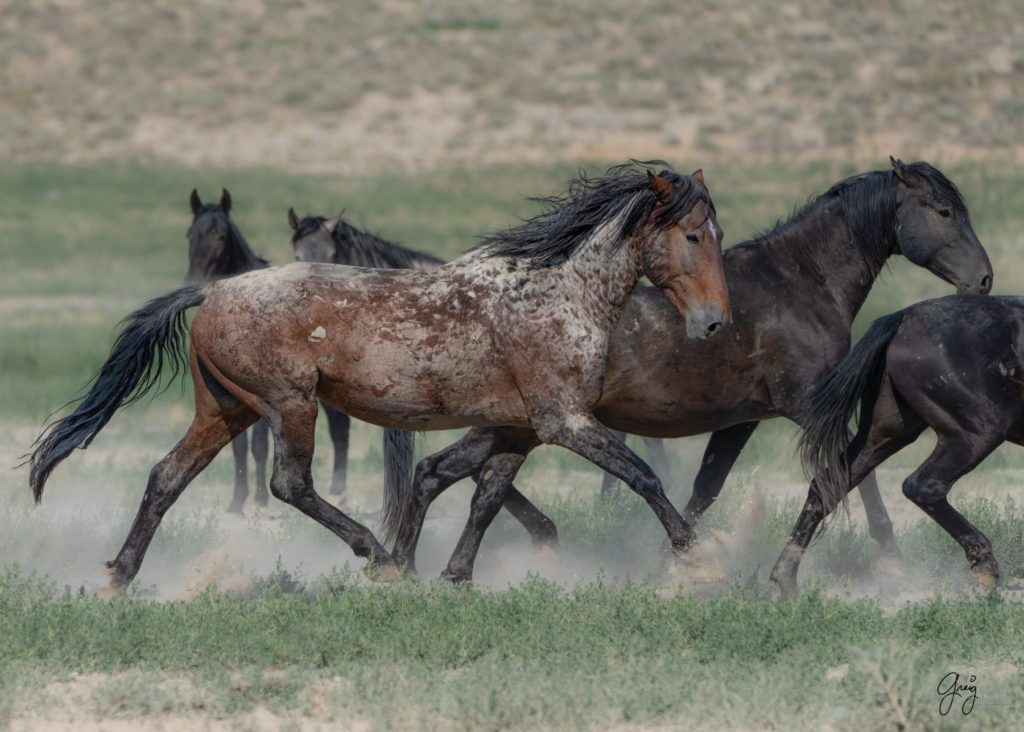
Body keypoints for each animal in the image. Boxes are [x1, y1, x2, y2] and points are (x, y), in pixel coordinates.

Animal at [184, 187, 270, 515]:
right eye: (189, 234)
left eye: (220, 235)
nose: (193, 280)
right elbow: (239, 446)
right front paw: (237, 499)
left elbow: (259, 445)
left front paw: (260, 497)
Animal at [389, 157, 991, 581]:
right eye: (943, 212)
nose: (984, 280)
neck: (800, 283)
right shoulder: (807, 405)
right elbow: (845, 475)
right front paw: (891, 557)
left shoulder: (742, 420)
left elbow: (705, 489)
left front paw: (669, 559)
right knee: (463, 478)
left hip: (517, 425)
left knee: (447, 474)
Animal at [774, 294, 1024, 597]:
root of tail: (901, 318)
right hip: (978, 432)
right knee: (922, 486)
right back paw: (985, 567)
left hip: (885, 435)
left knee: (826, 487)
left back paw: (786, 577)